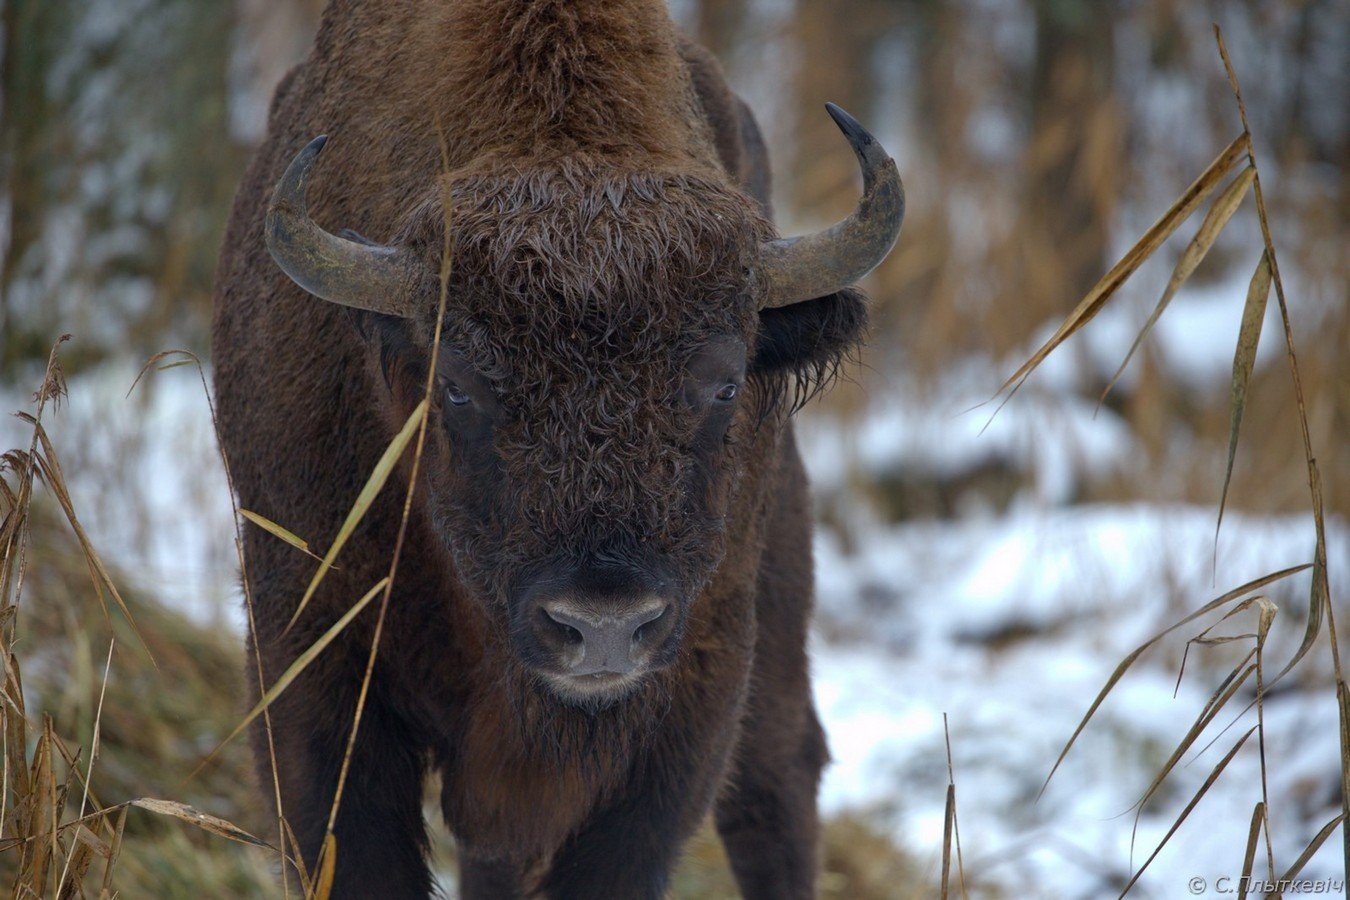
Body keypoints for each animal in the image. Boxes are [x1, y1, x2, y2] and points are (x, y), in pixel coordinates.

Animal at [210, 1, 901, 900]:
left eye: (723, 382)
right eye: (458, 382)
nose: (603, 626)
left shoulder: (689, 702)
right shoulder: (310, 669)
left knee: (775, 787)